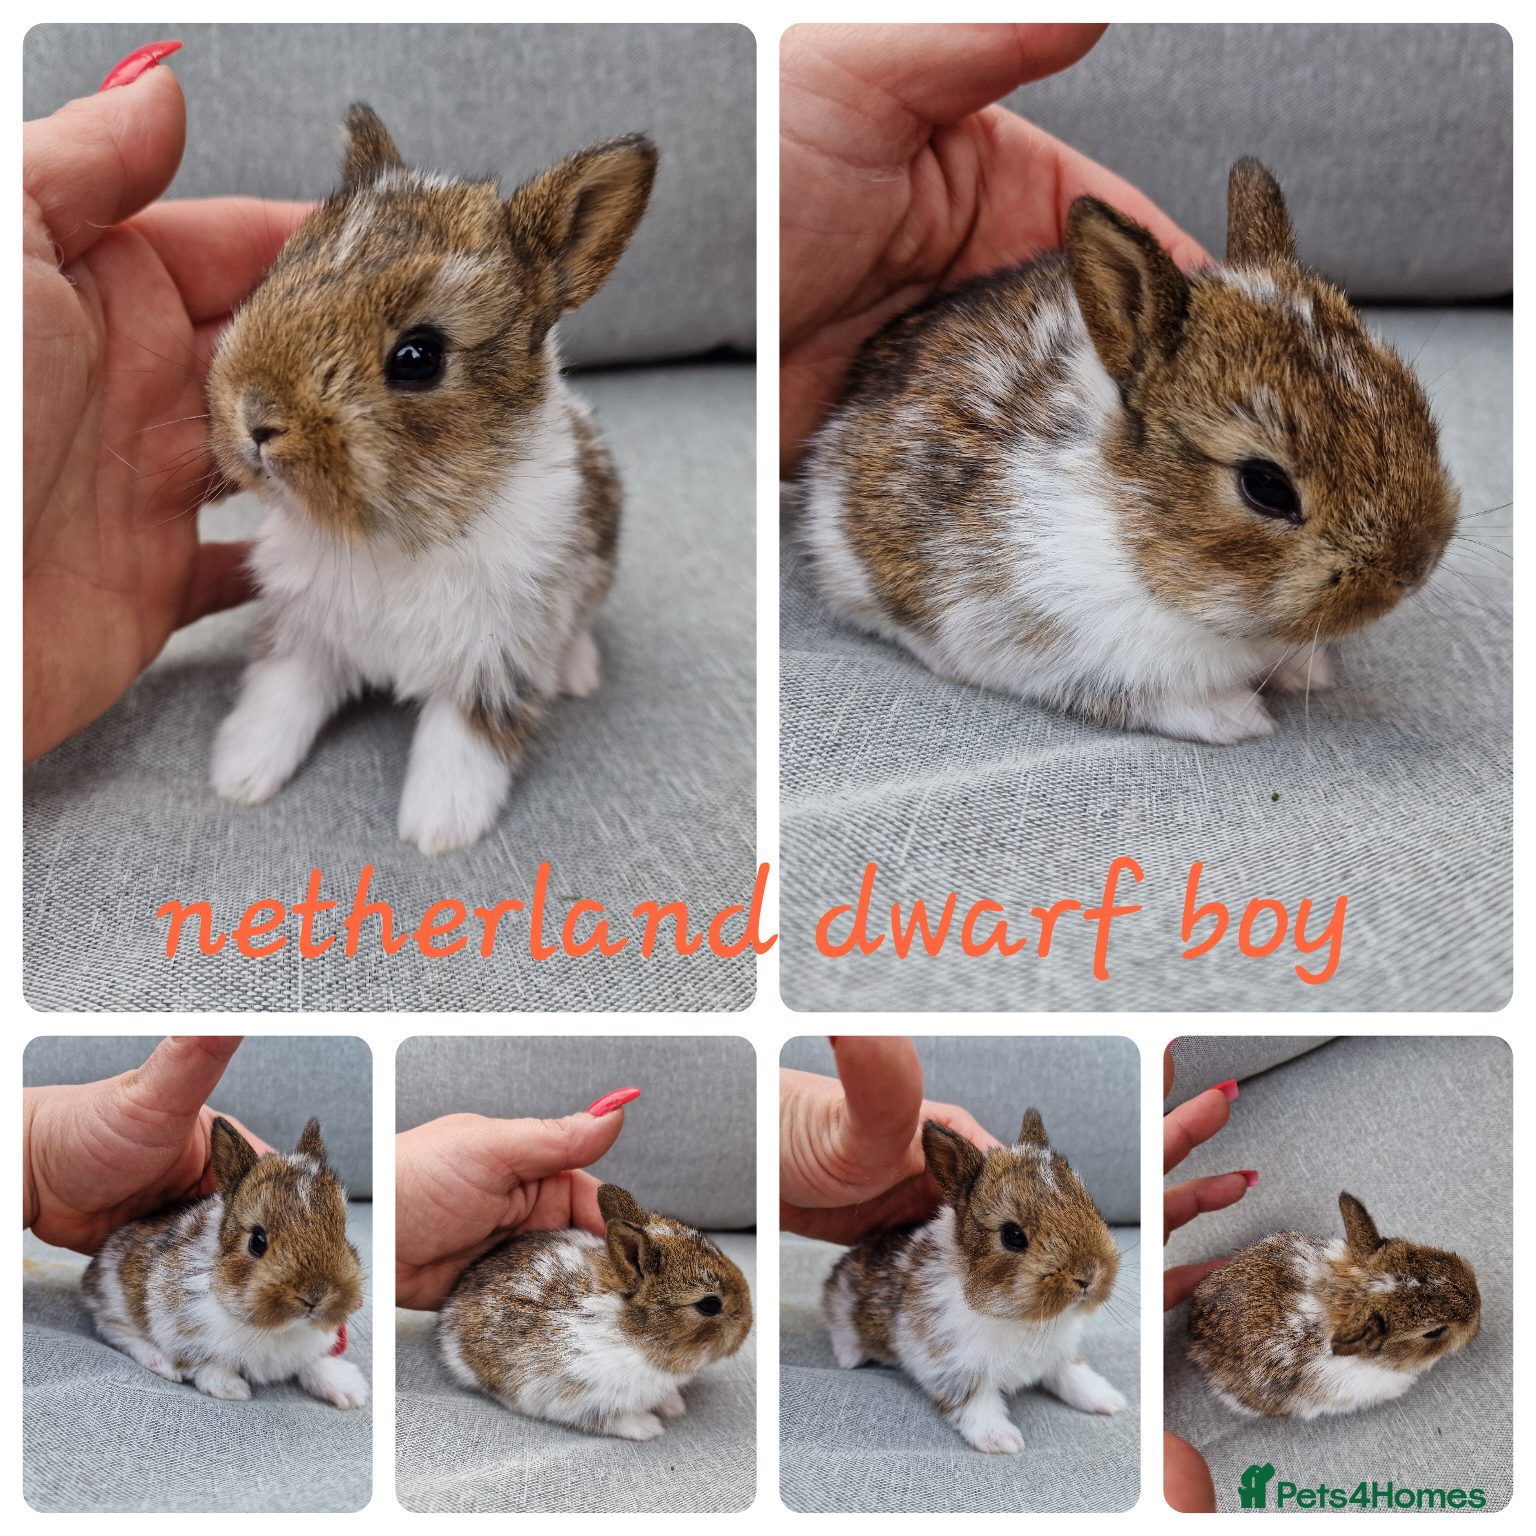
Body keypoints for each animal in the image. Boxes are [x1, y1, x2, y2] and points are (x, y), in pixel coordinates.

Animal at [81, 1117, 368, 1407]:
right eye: (257, 1241)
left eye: (342, 1232)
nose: (315, 1295)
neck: (282, 1329)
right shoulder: (184, 1332)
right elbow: (206, 1365)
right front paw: (231, 1390)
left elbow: (315, 1363)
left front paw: (350, 1391)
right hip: (113, 1296)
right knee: (115, 1331)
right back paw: (160, 1363)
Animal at [206, 105, 657, 853]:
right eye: (273, 279)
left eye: (418, 356)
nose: (256, 417)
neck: (394, 533)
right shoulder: (304, 635)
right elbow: (278, 701)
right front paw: (239, 776)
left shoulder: (494, 663)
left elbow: (461, 748)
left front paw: (437, 830)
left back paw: (579, 674)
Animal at [436, 1182, 752, 1440]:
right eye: (709, 1305)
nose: (747, 1328)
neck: (633, 1333)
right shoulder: (581, 1398)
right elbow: (612, 1421)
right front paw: (650, 1427)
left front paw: (674, 1407)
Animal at [799, 158, 1458, 746]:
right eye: (1266, 486)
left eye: (1408, 393)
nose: (1414, 568)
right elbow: (1150, 700)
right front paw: (1240, 720)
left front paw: (1306, 672)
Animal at [824, 1112, 1125, 1454]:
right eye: (1012, 1235)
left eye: (1091, 1205)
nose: (1088, 1274)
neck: (1019, 1318)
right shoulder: (951, 1367)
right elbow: (974, 1405)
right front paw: (1002, 1441)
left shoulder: (1059, 1356)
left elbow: (1073, 1376)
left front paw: (1109, 1400)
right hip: (843, 1305)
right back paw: (849, 1359)